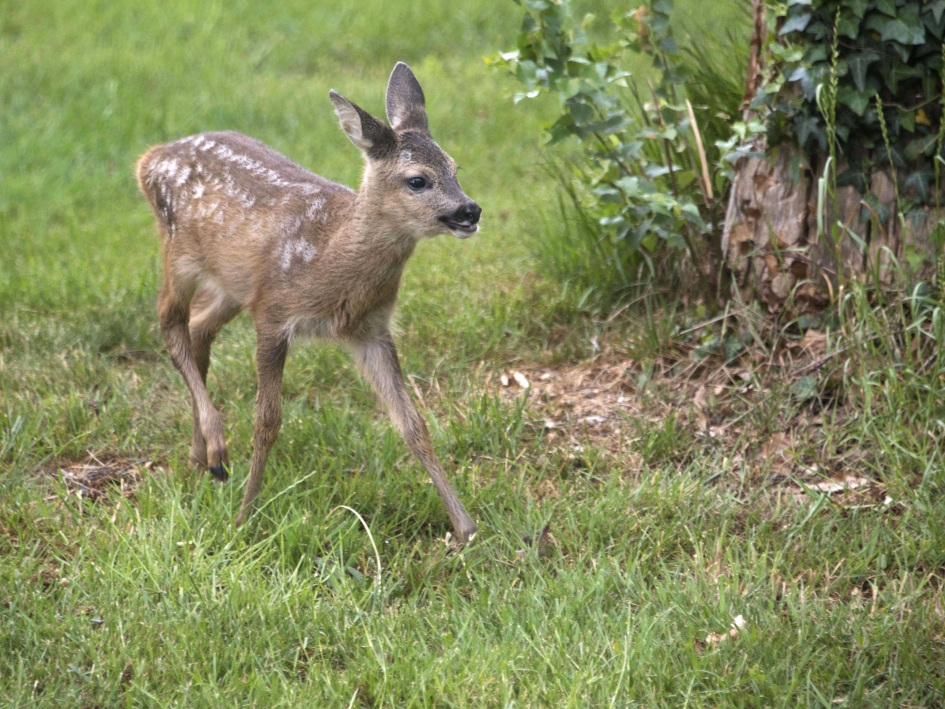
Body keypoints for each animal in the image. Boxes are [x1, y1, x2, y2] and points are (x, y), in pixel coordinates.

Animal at [135, 65, 480, 544]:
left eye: (454, 167)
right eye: (417, 180)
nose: (470, 211)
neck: (328, 258)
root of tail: (150, 157)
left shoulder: (370, 330)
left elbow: (413, 423)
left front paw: (465, 527)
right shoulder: (274, 314)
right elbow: (267, 422)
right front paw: (245, 518)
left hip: (231, 284)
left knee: (199, 328)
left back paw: (201, 458)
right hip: (178, 251)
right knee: (169, 324)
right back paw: (216, 445)